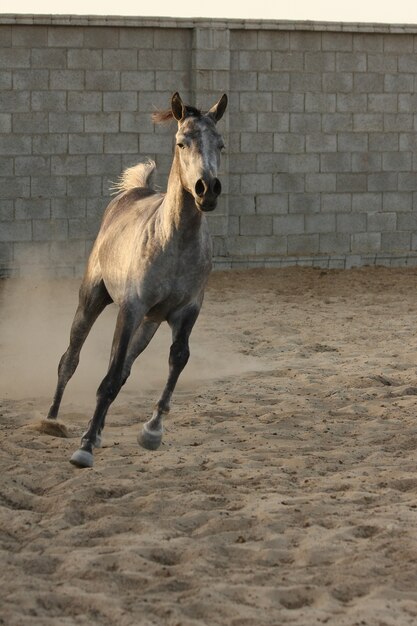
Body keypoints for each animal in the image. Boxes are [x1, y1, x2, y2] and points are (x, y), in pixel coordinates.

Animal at [45, 90, 228, 466]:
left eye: (221, 144)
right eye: (182, 142)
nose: (207, 189)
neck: (174, 241)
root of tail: (132, 193)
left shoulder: (187, 311)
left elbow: (177, 359)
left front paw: (152, 432)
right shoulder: (130, 309)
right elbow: (110, 374)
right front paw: (84, 447)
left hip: (150, 322)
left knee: (127, 367)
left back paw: (96, 430)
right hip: (92, 300)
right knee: (70, 358)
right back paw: (52, 420)